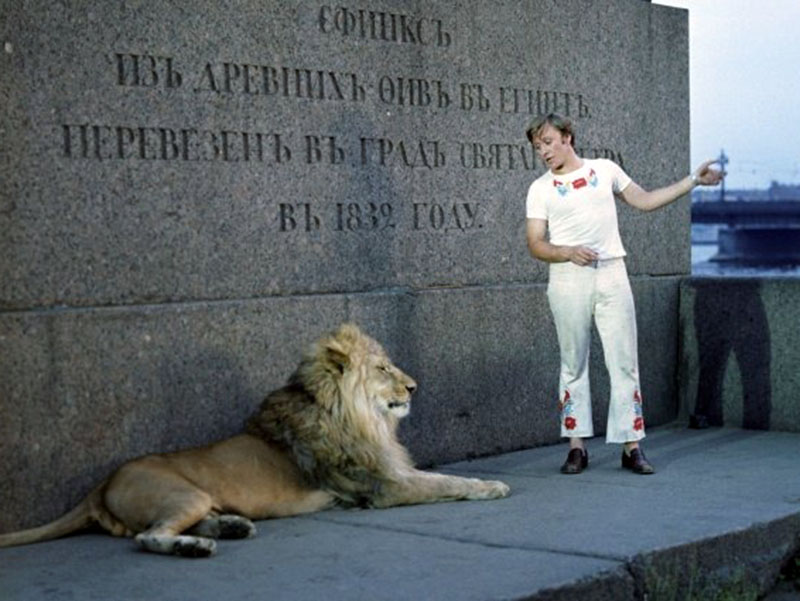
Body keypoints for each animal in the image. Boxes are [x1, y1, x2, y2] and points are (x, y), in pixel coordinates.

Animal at [0, 324, 510, 556]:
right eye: (384, 368)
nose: (414, 387)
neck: (357, 416)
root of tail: (99, 485)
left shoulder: (389, 473)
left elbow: (439, 476)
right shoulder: (382, 487)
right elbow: (444, 482)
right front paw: (491, 486)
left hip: (197, 500)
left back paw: (232, 527)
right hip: (181, 494)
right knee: (149, 537)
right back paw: (196, 548)